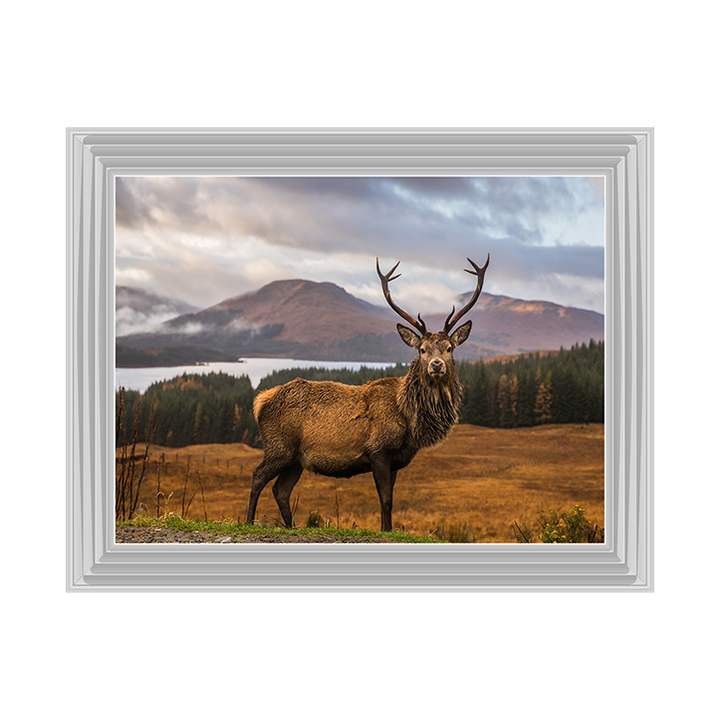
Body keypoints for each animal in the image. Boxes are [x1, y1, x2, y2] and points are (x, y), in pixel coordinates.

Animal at [245, 254, 490, 532]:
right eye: (422, 350)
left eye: (449, 348)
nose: (436, 365)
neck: (409, 420)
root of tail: (260, 401)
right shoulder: (378, 449)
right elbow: (385, 500)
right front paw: (386, 530)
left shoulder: (396, 459)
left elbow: (390, 499)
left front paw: (387, 529)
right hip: (279, 446)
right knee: (257, 476)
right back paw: (249, 521)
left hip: (296, 459)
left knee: (281, 490)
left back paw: (290, 527)